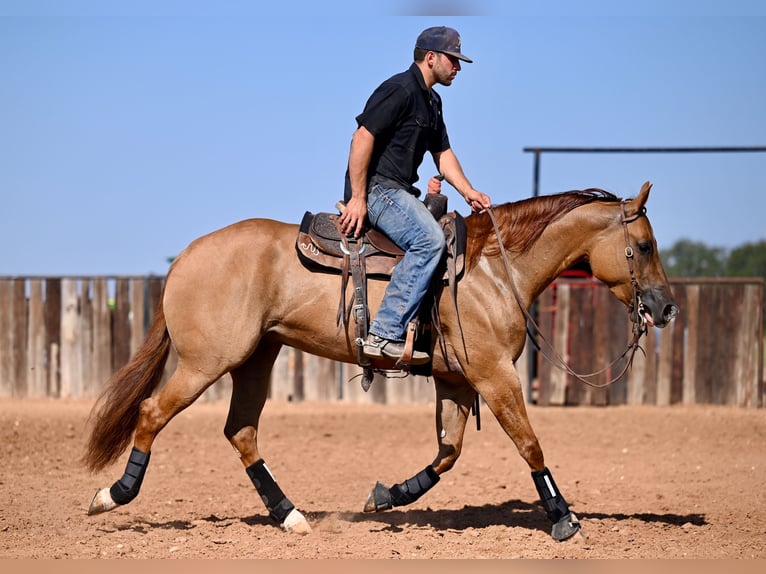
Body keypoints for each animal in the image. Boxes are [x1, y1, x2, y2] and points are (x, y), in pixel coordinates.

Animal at [82, 182, 680, 544]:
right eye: (647, 245)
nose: (667, 308)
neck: (491, 270)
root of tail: (187, 254)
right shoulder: (494, 376)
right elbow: (529, 443)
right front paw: (564, 518)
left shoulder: (455, 381)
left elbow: (447, 454)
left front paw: (388, 496)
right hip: (207, 362)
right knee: (153, 413)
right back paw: (113, 496)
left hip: (256, 358)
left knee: (241, 431)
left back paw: (290, 515)